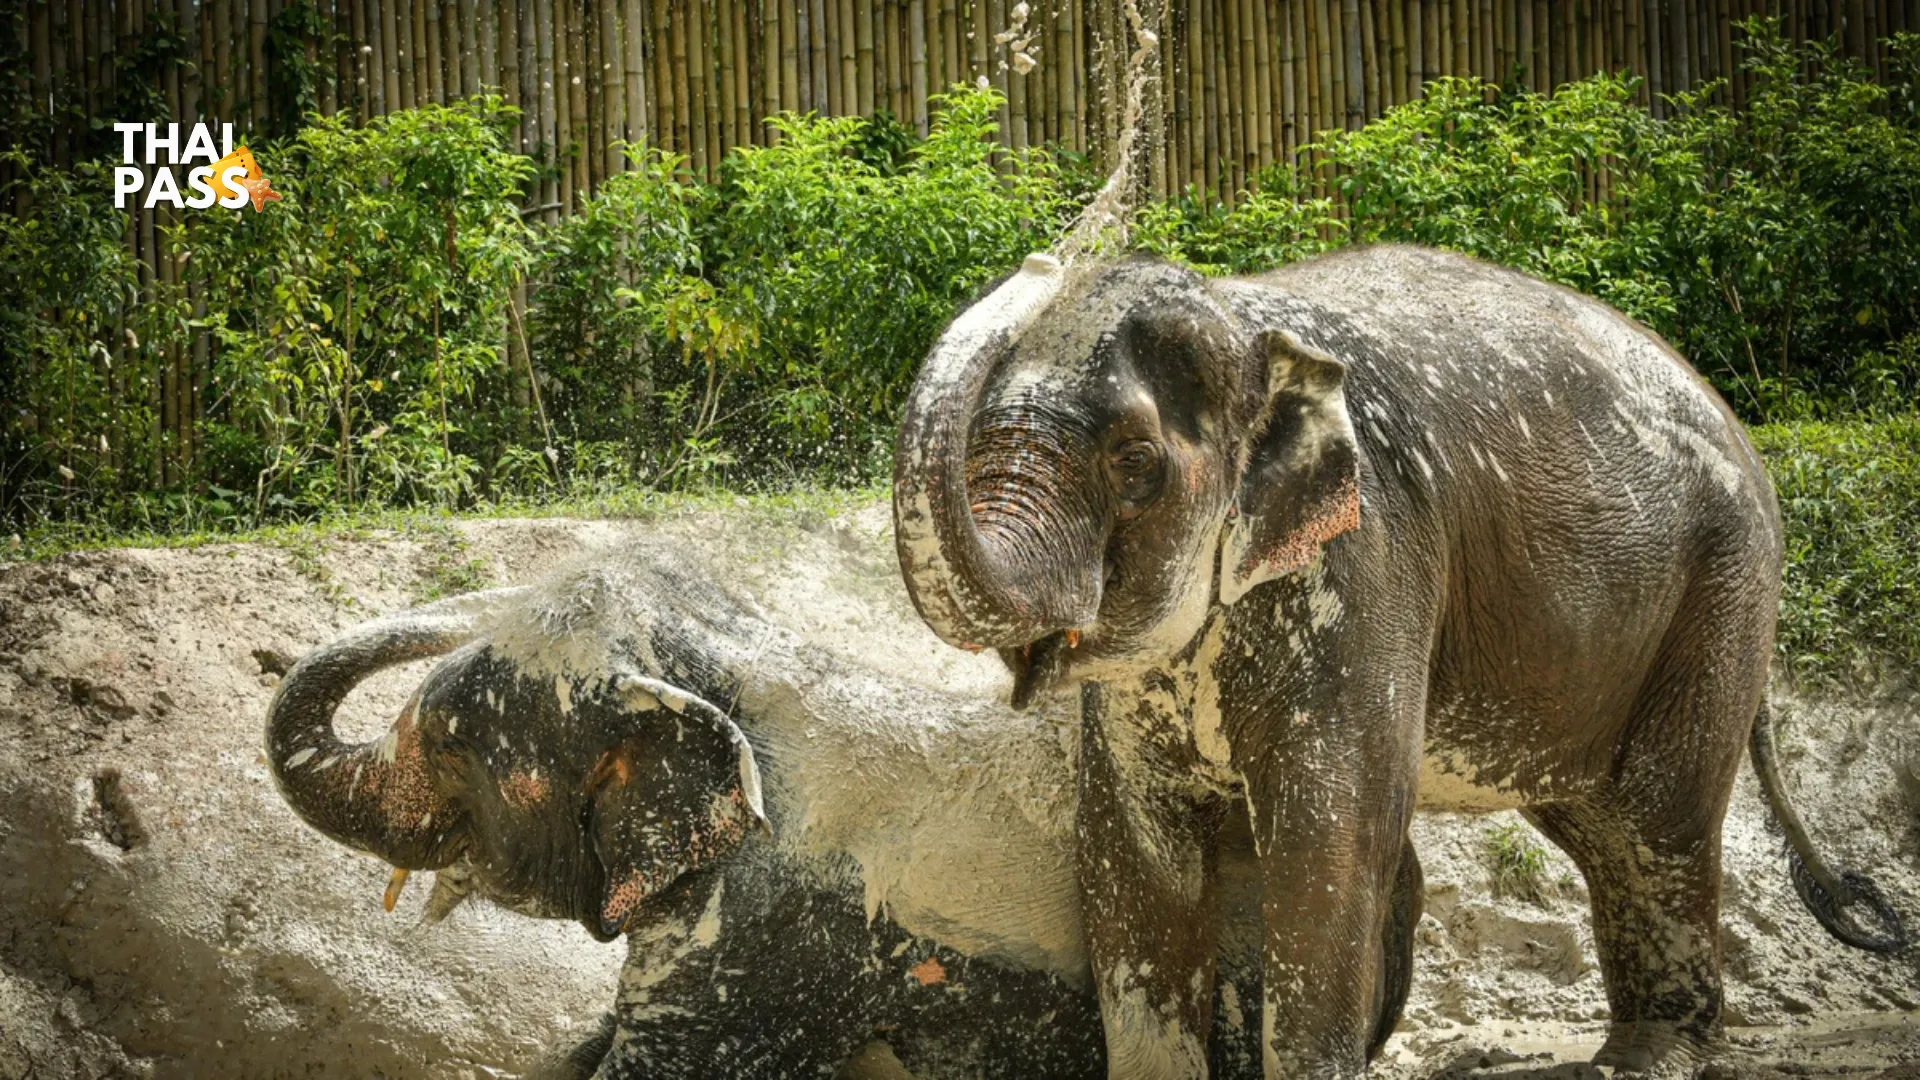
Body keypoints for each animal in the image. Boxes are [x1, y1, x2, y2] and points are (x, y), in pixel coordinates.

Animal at [891, 243, 1903, 1078]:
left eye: (1134, 461)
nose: (1044, 258)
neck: (1247, 321)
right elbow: (1132, 847)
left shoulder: (1370, 567)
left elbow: (1329, 835)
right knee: (1599, 826)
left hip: (1723, 590)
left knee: (1660, 817)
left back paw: (1641, 1062)